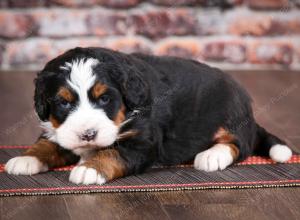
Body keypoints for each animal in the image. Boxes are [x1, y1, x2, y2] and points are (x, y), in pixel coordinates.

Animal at [4, 47, 292, 185]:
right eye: (63, 103)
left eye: (105, 99)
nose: (88, 134)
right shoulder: (60, 131)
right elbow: (47, 142)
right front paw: (26, 159)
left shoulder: (143, 142)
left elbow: (112, 153)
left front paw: (89, 169)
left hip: (231, 111)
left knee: (240, 144)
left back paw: (212, 156)